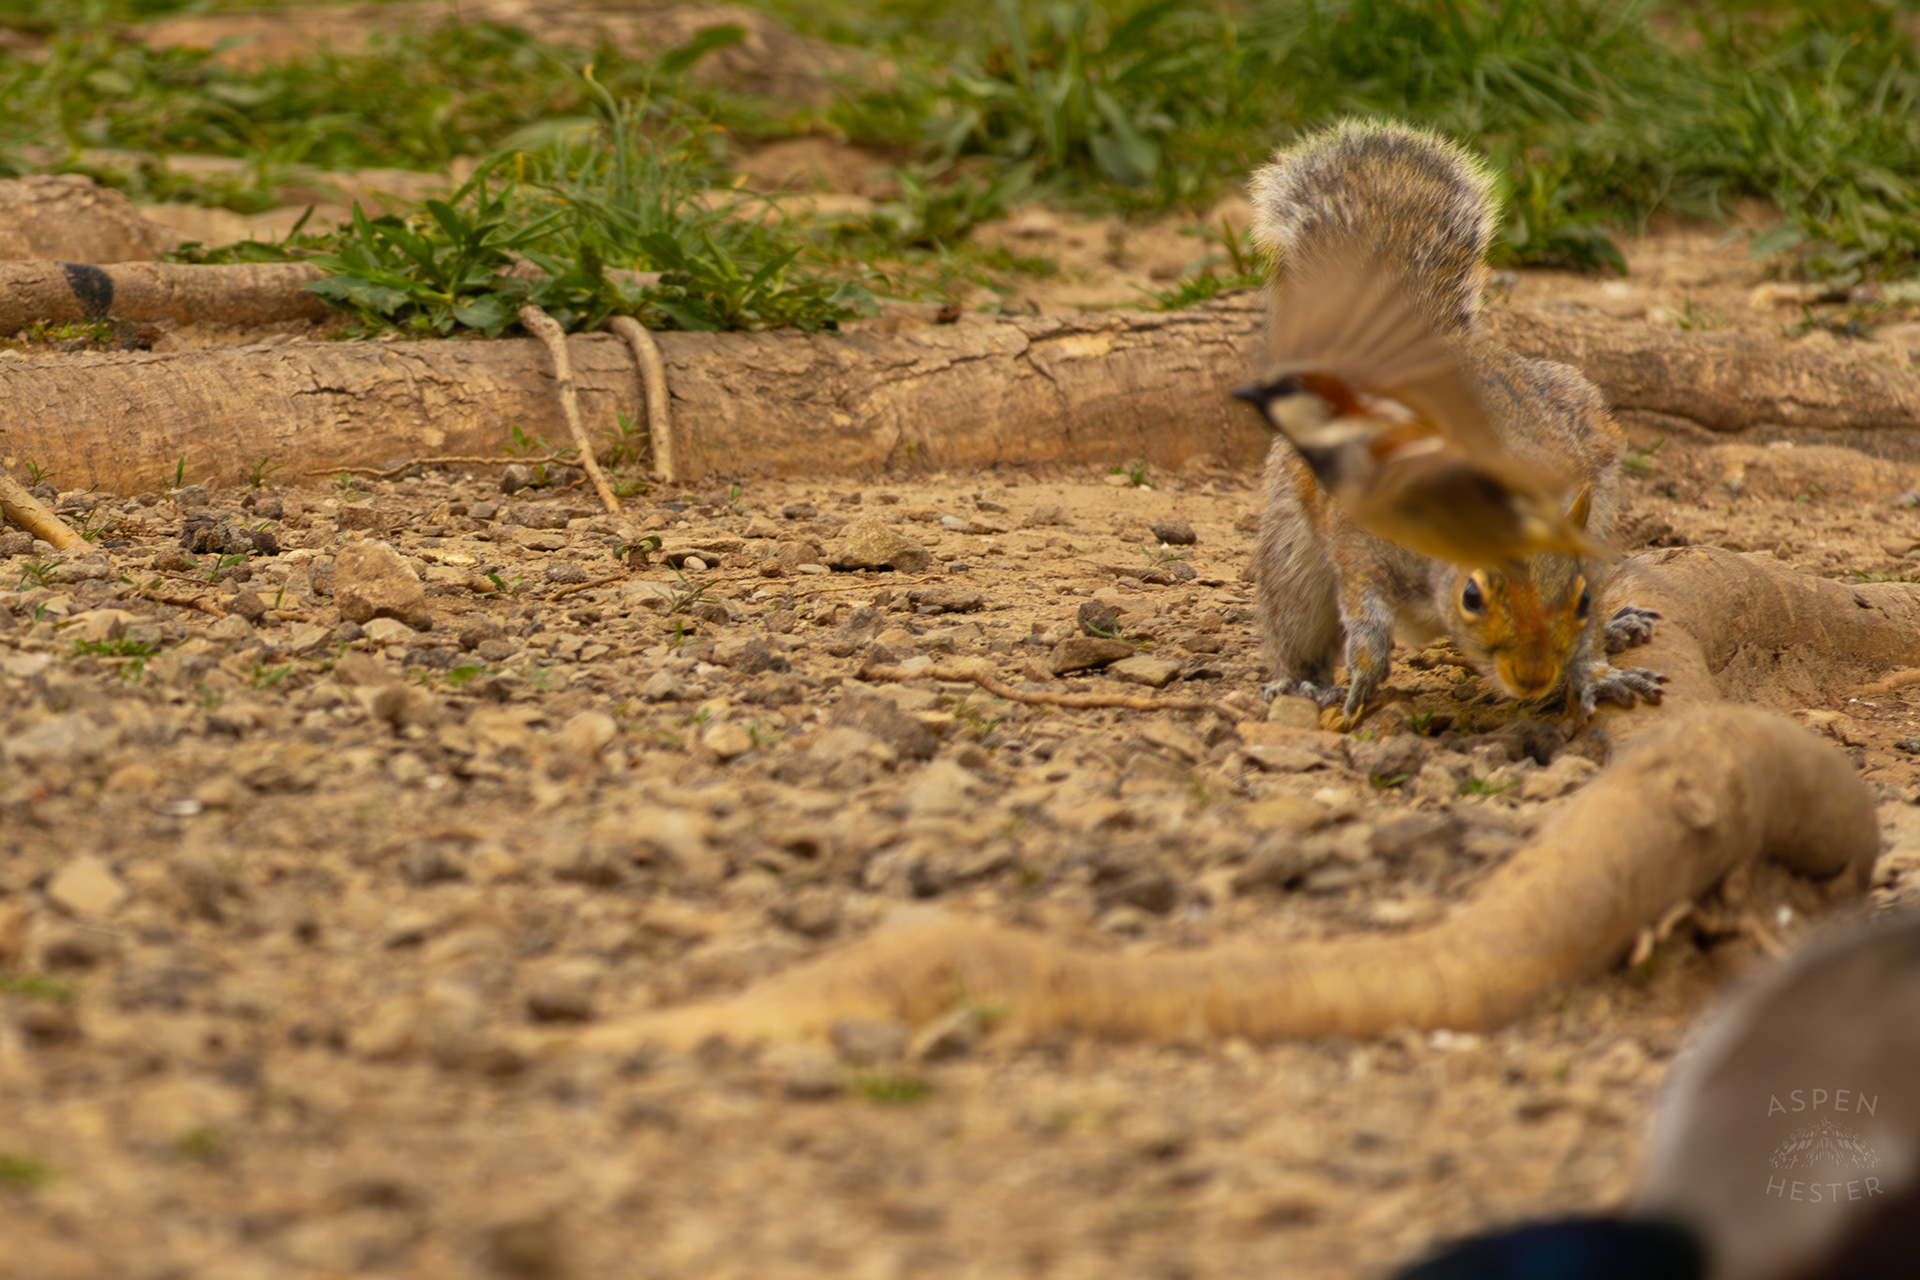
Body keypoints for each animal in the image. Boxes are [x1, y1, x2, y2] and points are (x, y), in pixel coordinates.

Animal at [1242, 119, 1664, 728]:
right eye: (1473, 596)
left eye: (1581, 599)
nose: (1534, 676)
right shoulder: (1360, 536)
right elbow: (1365, 618)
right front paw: (1362, 679)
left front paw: (1597, 670)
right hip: (1291, 546)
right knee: (1293, 612)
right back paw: (1301, 682)